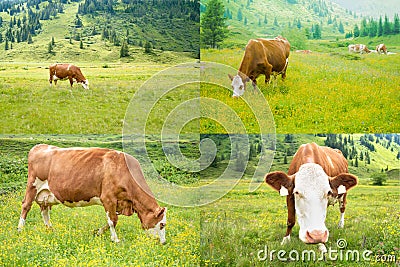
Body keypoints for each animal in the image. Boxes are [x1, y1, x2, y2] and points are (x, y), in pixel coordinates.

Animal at [16, 144, 167, 245]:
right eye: (162, 224)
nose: (164, 243)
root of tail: (40, 146)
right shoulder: (108, 198)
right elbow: (113, 221)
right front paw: (115, 239)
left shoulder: (117, 203)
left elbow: (112, 221)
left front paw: (98, 232)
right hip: (32, 185)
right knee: (26, 206)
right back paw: (20, 229)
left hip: (45, 194)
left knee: (45, 211)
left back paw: (50, 230)